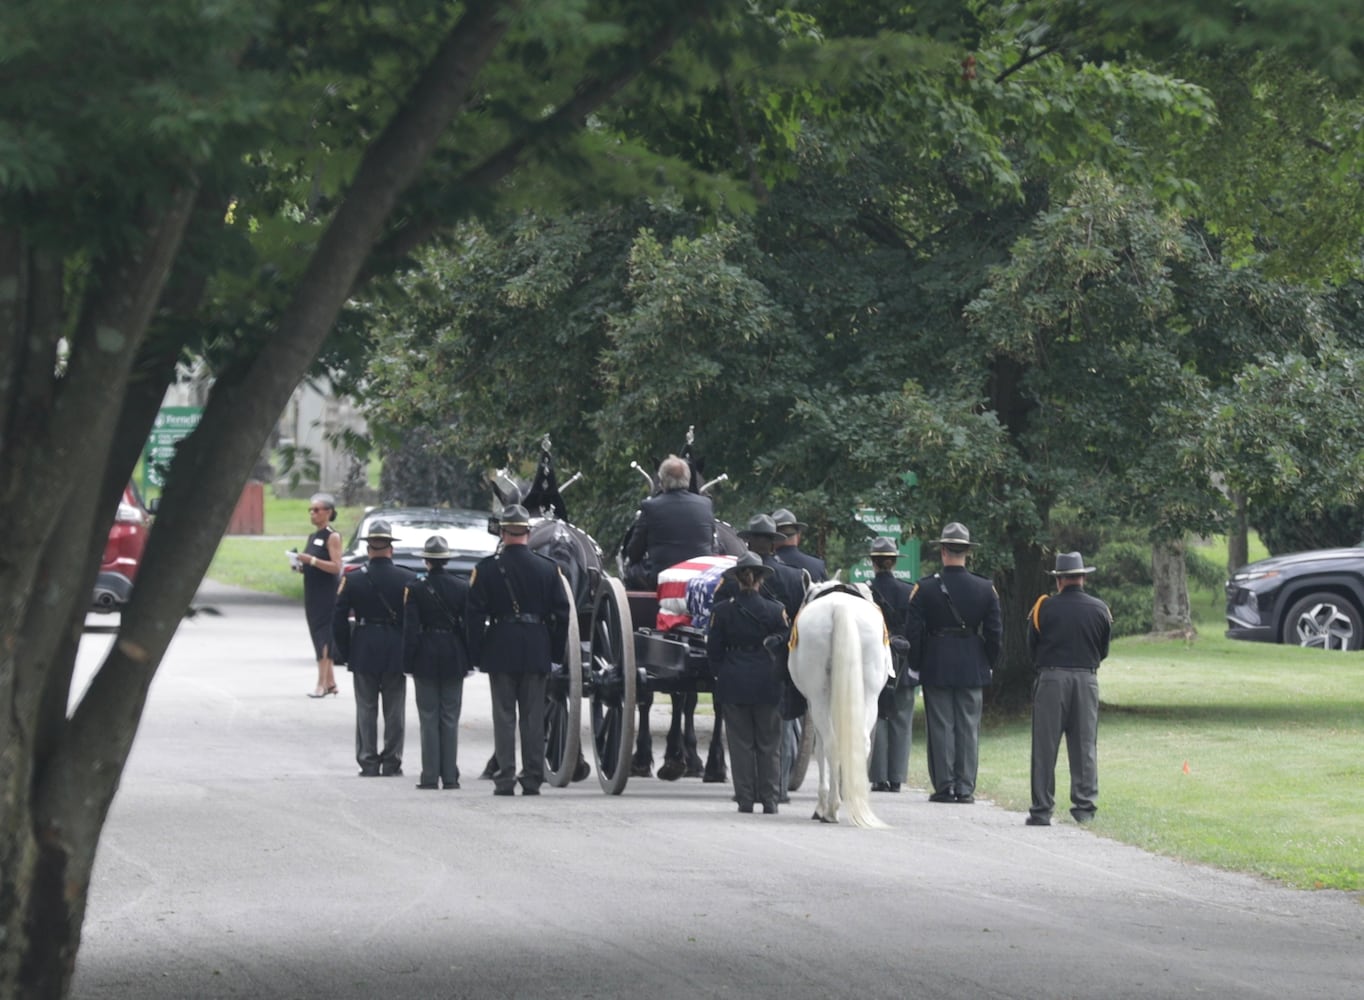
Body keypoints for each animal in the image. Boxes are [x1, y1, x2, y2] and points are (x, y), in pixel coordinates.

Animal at [785, 578, 889, 829]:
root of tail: (841, 607)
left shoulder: (812, 704)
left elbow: (821, 748)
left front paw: (821, 806)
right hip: (869, 696)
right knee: (861, 742)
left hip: (819, 698)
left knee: (831, 744)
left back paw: (830, 809)